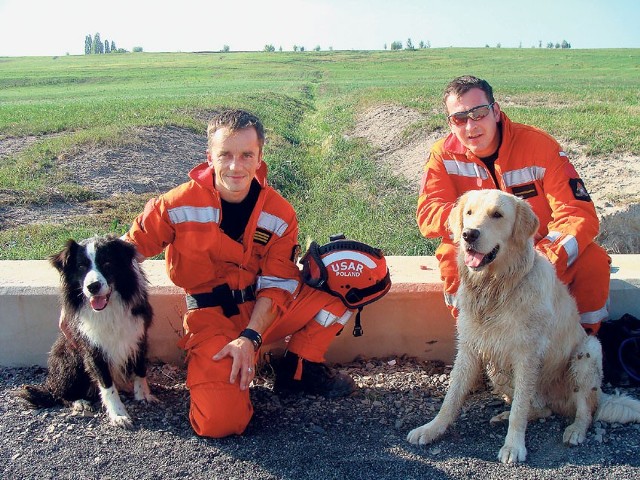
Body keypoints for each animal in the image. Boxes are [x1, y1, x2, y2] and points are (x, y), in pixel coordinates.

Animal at [17, 236, 158, 428]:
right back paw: (80, 402)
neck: (109, 309)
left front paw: (143, 395)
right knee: (61, 394)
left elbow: (140, 368)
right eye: (81, 266)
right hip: (70, 359)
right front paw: (119, 415)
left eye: (107, 262)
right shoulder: (92, 348)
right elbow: (106, 384)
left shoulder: (138, 336)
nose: (93, 286)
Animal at [408, 189, 640, 464]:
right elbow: (451, 398)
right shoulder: (470, 348)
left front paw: (513, 446)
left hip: (588, 352)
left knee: (584, 408)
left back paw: (575, 430)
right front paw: (432, 429)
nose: (469, 234)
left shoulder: (526, 355)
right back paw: (506, 415)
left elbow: (520, 408)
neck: (496, 288)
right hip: (496, 367)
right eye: (469, 213)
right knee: (542, 408)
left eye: (497, 215)